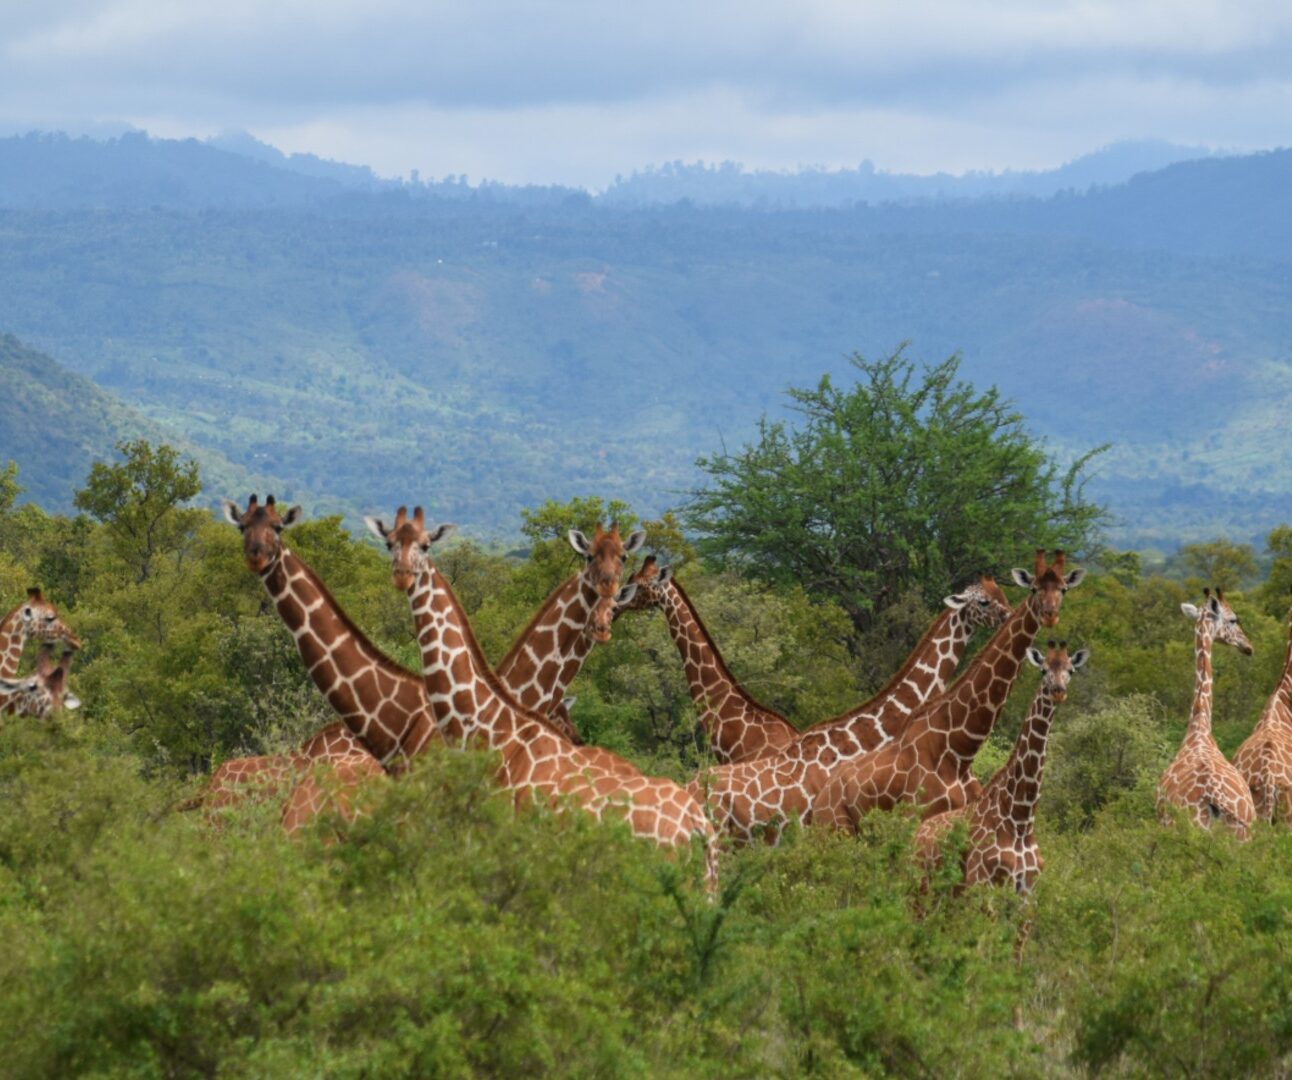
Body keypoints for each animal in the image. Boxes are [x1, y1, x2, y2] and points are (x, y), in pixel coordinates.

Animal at [812, 551, 1084, 833]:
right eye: (1034, 588)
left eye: (1063, 588)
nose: (1050, 614)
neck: (958, 751)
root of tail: (822, 795)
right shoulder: (918, 817)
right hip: (833, 827)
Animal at [915, 641, 1088, 894]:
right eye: (1043, 670)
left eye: (1071, 670)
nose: (1058, 690)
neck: (1021, 817)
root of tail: (916, 833)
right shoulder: (981, 881)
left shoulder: (1027, 888)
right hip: (921, 886)